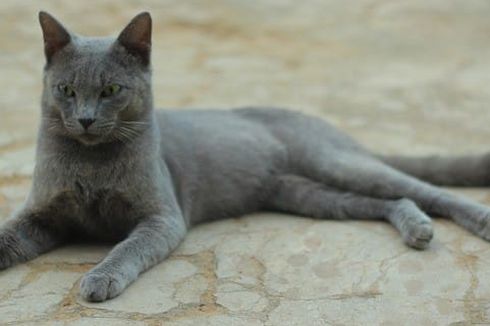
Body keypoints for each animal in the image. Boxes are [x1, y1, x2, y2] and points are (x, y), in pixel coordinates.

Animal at [0, 12, 490, 304]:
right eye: (66, 89)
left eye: (110, 90)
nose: (84, 119)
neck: (90, 162)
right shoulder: (42, 215)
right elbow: (8, 235)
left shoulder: (163, 217)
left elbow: (127, 246)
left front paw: (99, 278)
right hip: (309, 195)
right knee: (391, 201)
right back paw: (416, 228)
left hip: (335, 162)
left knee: (427, 189)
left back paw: (476, 221)